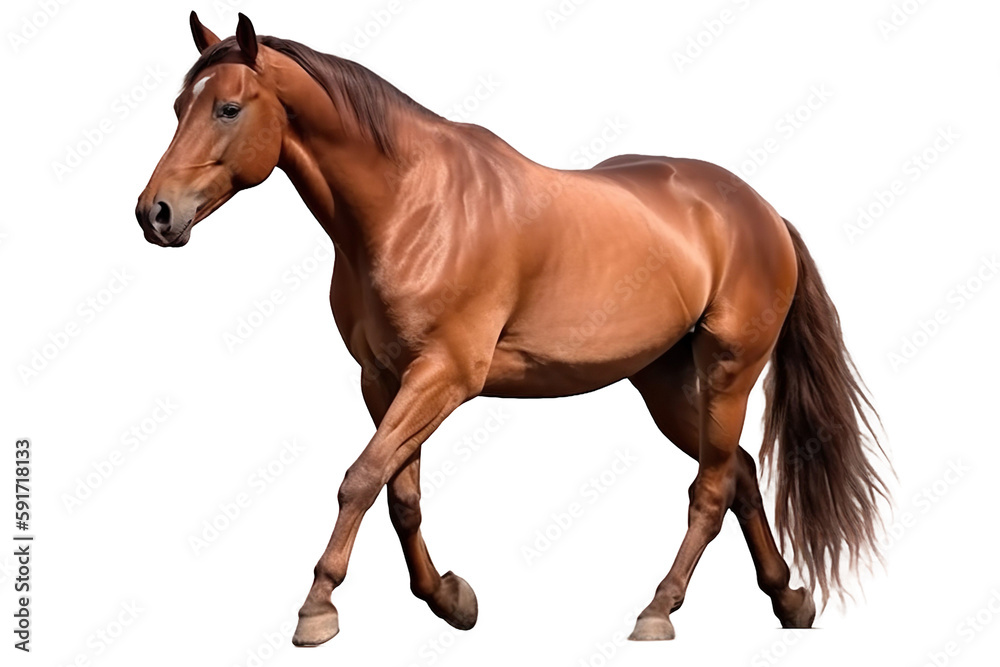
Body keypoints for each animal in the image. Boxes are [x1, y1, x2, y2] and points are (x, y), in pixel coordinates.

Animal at [135, 12, 888, 646]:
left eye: (229, 107)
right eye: (178, 107)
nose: (155, 213)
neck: (412, 205)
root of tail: (761, 212)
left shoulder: (445, 374)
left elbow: (361, 477)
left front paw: (318, 607)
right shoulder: (385, 379)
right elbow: (400, 493)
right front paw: (448, 598)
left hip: (729, 372)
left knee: (709, 491)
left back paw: (658, 610)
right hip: (670, 385)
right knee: (739, 473)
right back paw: (786, 598)